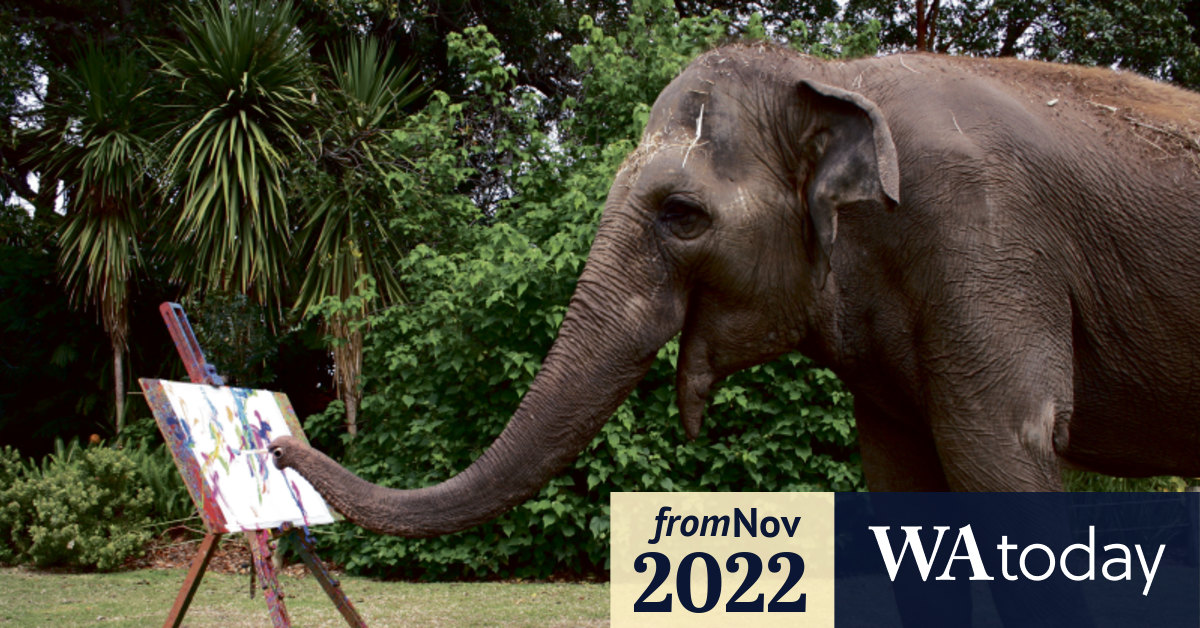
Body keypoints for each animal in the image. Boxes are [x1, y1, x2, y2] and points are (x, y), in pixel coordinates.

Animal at [272, 41, 1200, 537]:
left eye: (681, 215)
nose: (280, 442)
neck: (834, 74)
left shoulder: (989, 246)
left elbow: (1003, 454)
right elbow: (901, 478)